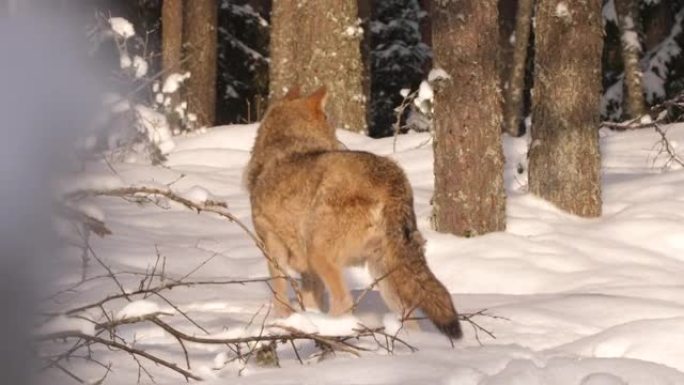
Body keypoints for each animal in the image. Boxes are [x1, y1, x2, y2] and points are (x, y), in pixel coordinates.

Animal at [243, 88, 462, 340]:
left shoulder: (273, 251)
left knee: (344, 301)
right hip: (385, 275)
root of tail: (393, 178)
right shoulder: (308, 271)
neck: (283, 147)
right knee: (408, 316)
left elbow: (280, 299)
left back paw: (332, 332)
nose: (341, 144)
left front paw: (283, 324)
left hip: (321, 255)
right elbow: (310, 302)